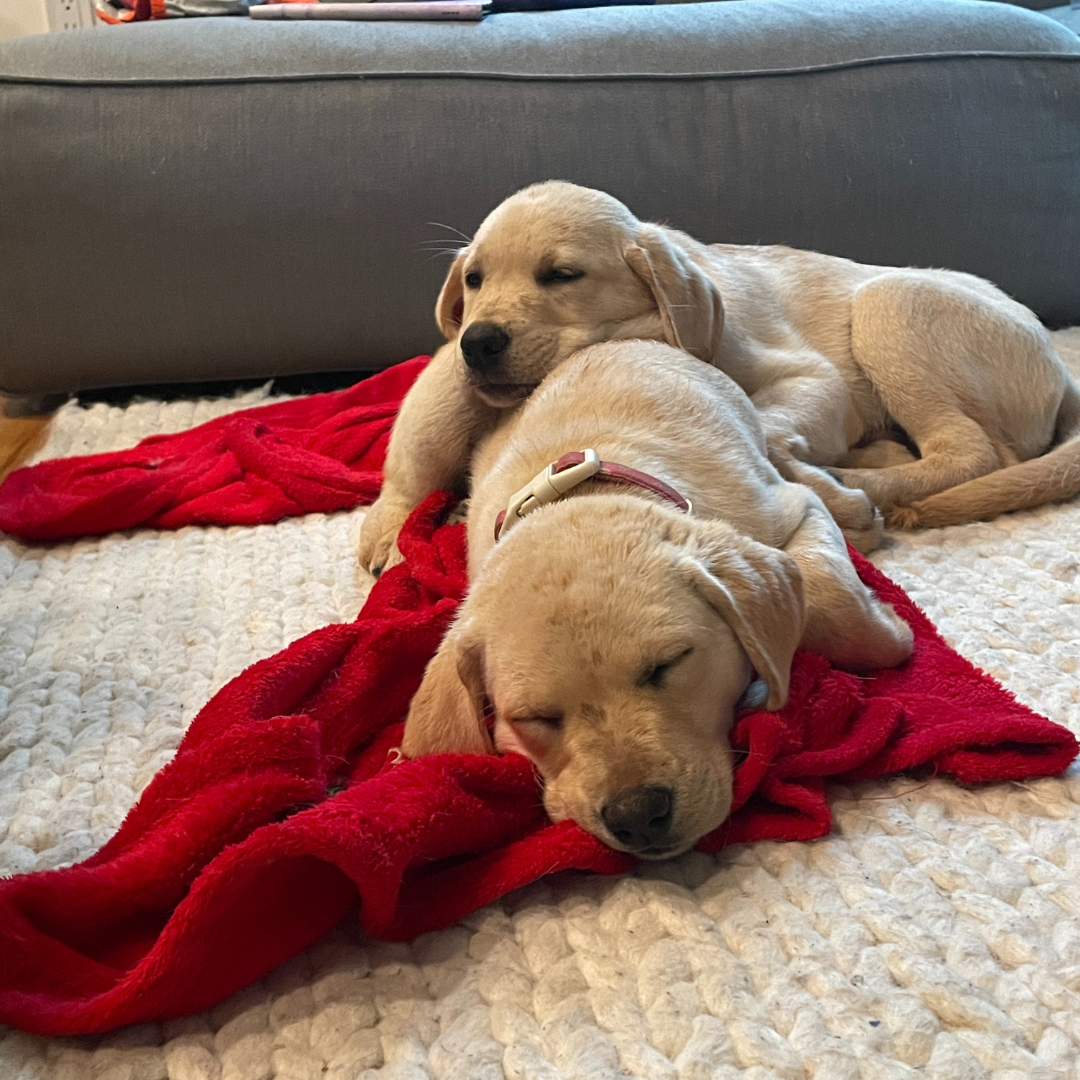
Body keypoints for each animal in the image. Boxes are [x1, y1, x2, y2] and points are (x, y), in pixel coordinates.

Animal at [360, 181, 1080, 578]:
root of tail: (1060, 367)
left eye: (561, 275)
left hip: (890, 304)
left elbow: (767, 424)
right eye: (474, 278)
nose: (477, 342)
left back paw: (863, 483)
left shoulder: (813, 376)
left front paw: (821, 482)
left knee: (975, 451)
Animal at [399, 341, 911, 855]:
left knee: (785, 452)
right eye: (534, 718)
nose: (638, 817)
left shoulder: (787, 508)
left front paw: (892, 631)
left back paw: (856, 500)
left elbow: (831, 599)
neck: (580, 495)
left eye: (669, 664)